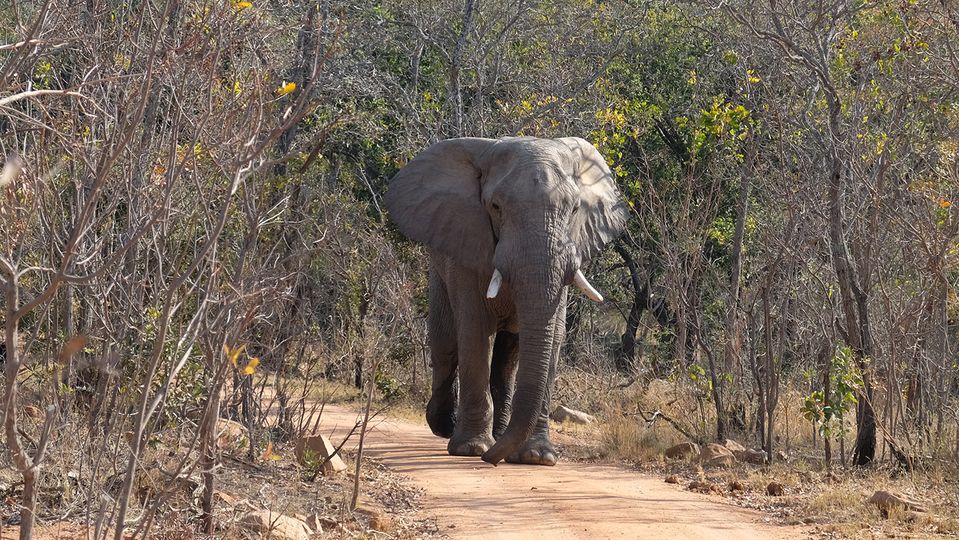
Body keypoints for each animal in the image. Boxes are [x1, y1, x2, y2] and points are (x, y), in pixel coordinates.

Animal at [384, 135, 632, 464]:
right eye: (496, 206)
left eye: (575, 208)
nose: (491, 460)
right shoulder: (466, 244)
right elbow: (475, 332)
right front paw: (472, 449)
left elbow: (553, 336)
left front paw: (537, 457)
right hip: (438, 266)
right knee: (445, 346)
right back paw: (446, 427)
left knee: (507, 359)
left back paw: (498, 434)